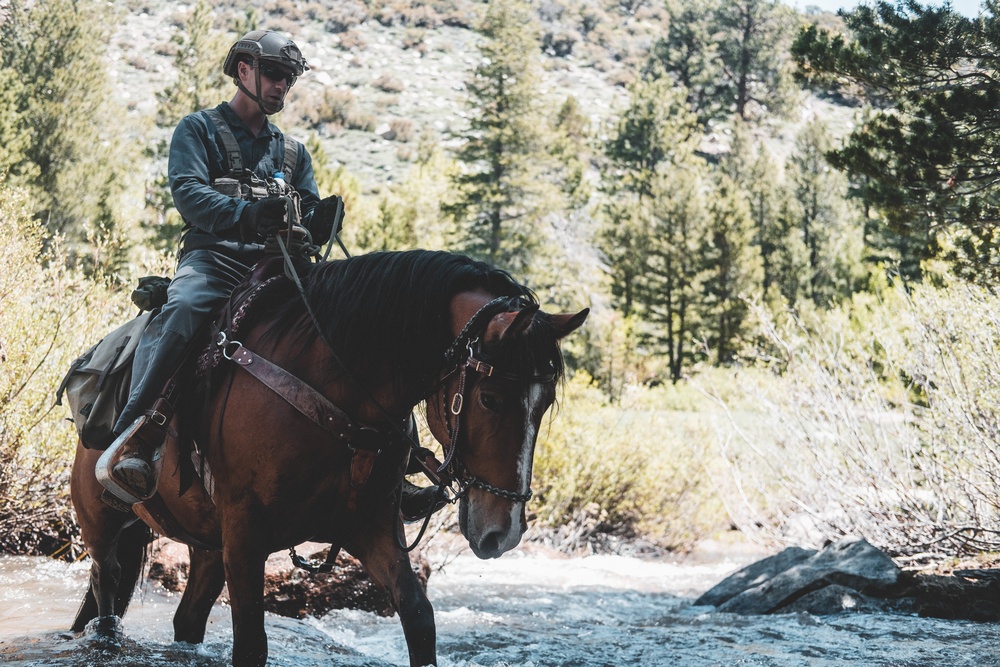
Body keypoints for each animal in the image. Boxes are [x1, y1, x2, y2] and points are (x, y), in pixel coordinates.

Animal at [68, 250, 584, 667]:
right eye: (490, 399)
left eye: (544, 402)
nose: (503, 532)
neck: (333, 393)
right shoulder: (246, 537)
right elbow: (251, 645)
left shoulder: (371, 528)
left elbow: (419, 618)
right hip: (102, 527)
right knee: (105, 599)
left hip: (208, 547)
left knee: (186, 620)